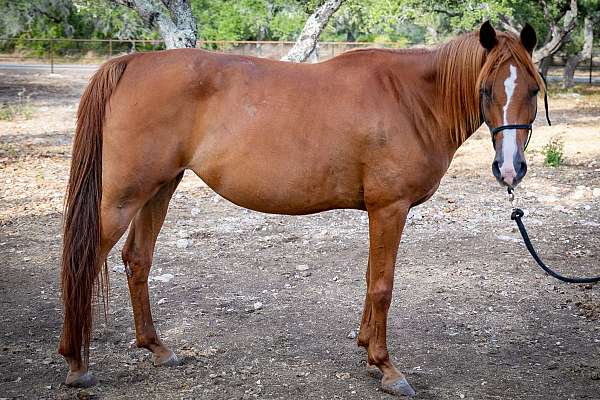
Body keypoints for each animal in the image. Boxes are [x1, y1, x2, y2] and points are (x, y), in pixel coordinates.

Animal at [59, 22, 544, 396]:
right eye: (486, 89)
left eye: (534, 90)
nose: (510, 168)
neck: (411, 100)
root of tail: (133, 63)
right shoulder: (390, 208)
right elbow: (382, 286)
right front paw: (388, 368)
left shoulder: (379, 211)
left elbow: (370, 279)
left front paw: (366, 350)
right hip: (123, 197)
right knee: (85, 262)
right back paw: (76, 363)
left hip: (160, 188)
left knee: (137, 260)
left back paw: (157, 348)